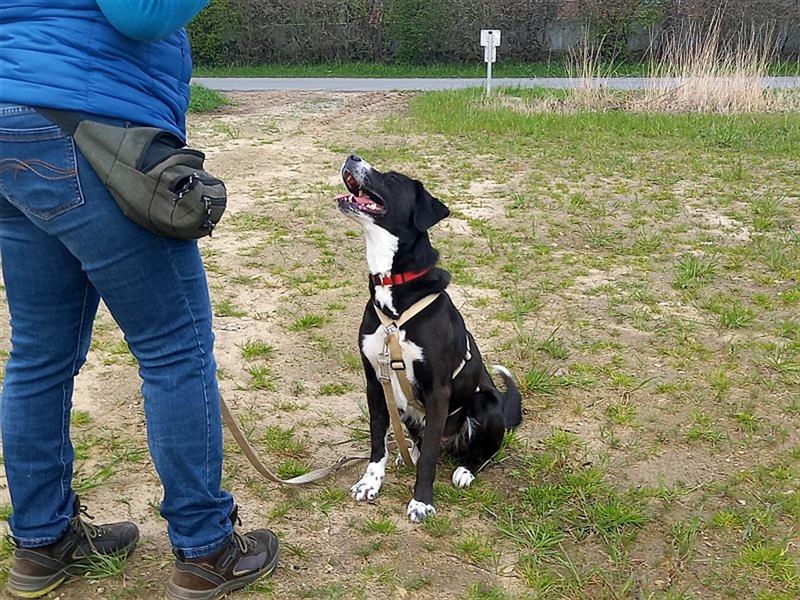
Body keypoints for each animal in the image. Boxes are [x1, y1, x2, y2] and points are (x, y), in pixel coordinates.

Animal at [334, 157, 520, 524]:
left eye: (392, 178)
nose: (352, 157)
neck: (392, 287)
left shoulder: (438, 391)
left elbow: (432, 455)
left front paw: (421, 502)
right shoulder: (375, 383)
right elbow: (377, 441)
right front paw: (370, 483)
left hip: (486, 404)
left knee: (483, 452)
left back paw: (465, 470)